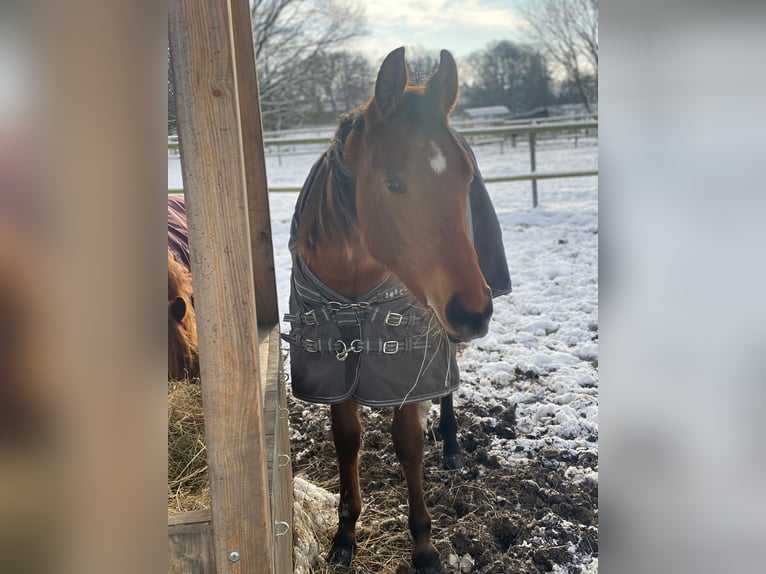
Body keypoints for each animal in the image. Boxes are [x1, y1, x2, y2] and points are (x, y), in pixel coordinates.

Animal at [284, 47, 494, 574]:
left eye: (465, 176)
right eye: (393, 182)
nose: (475, 311)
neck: (356, 279)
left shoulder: (407, 359)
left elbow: (408, 443)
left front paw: (424, 546)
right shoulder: (332, 363)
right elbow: (347, 439)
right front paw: (344, 534)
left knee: (448, 387)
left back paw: (453, 447)